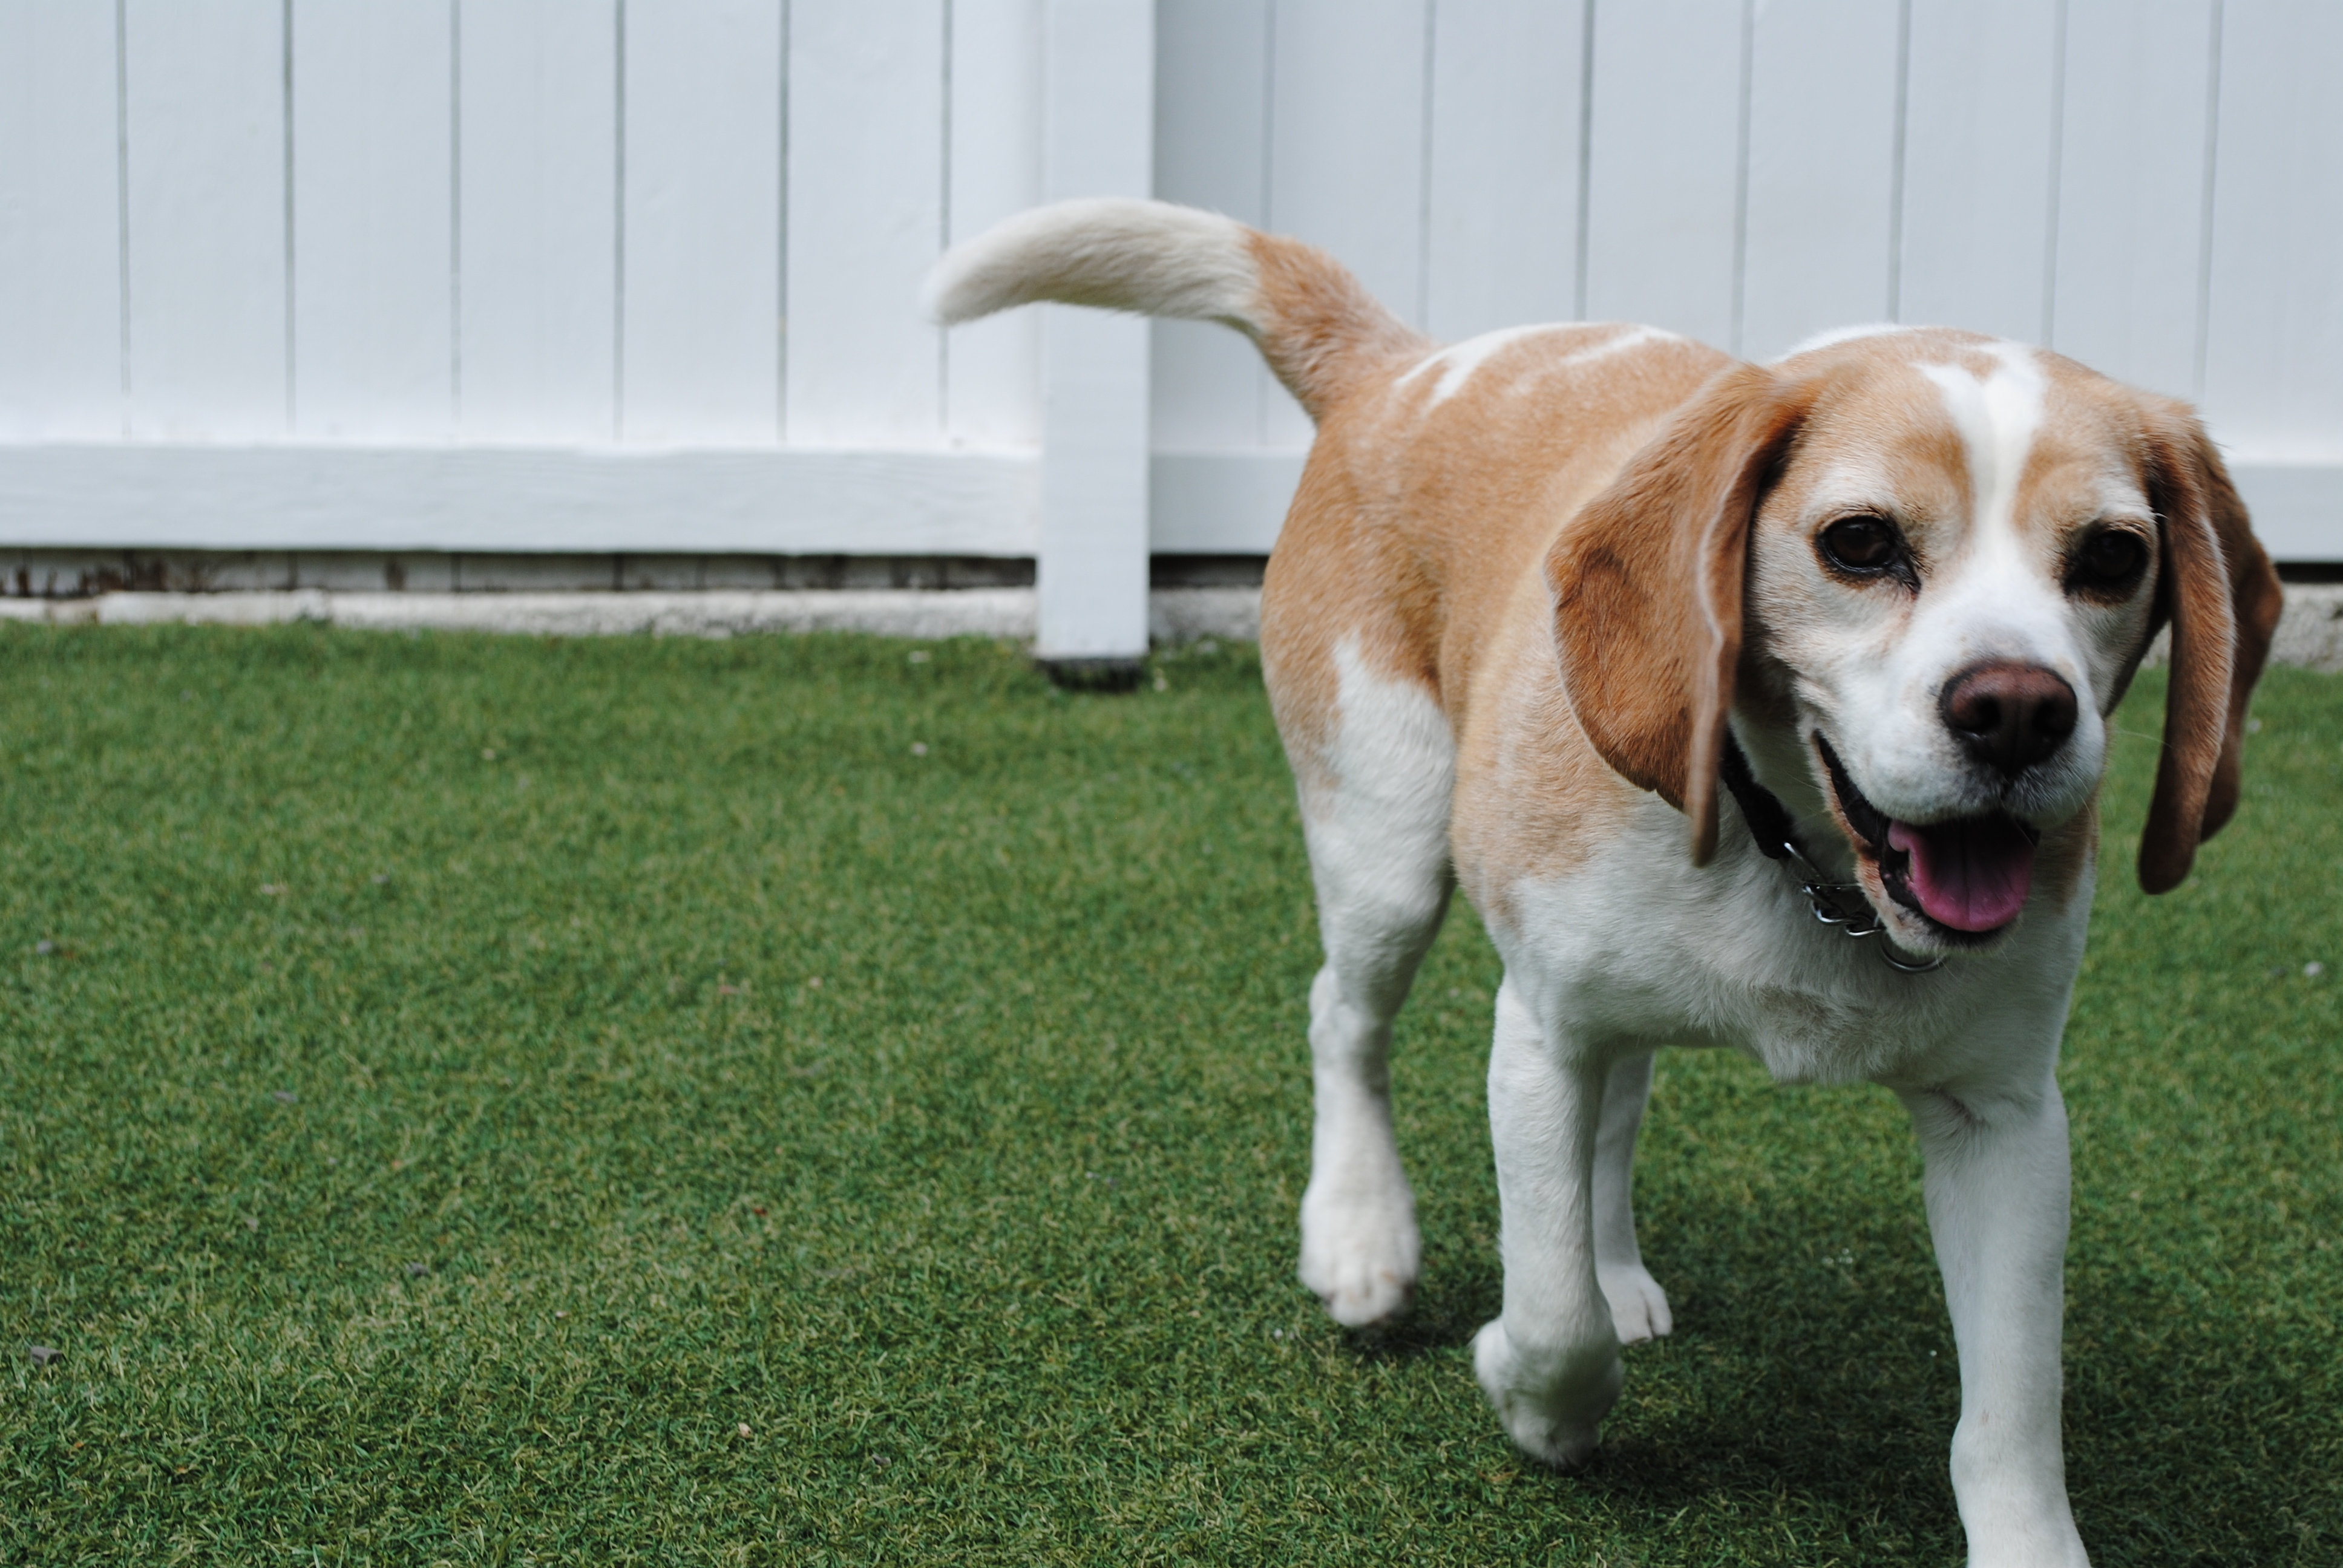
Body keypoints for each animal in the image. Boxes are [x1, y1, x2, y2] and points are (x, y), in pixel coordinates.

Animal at [923, 201, 2277, 1556]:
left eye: (2110, 558)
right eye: (1859, 543)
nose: (2017, 713)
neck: (1801, 864)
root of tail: (1403, 365)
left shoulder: (2005, 1121)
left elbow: (2010, 1414)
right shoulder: (1539, 1037)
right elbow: (1549, 1304)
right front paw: (1538, 1406)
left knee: (1613, 1120)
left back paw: (1614, 1266)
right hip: (1383, 847)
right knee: (1342, 1021)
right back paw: (1360, 1234)